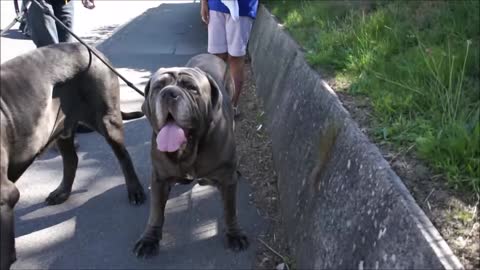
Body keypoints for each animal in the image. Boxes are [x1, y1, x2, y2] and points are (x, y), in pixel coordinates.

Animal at [0, 42, 146, 270]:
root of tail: (89, 48)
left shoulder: (4, 197)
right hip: (62, 128)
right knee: (71, 160)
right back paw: (62, 192)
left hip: (106, 120)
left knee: (123, 156)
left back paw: (135, 191)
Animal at [134, 53, 249, 258]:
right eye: (158, 87)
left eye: (191, 88)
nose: (168, 93)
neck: (190, 148)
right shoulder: (159, 178)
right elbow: (156, 212)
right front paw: (149, 239)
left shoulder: (227, 180)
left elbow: (230, 210)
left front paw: (235, 234)